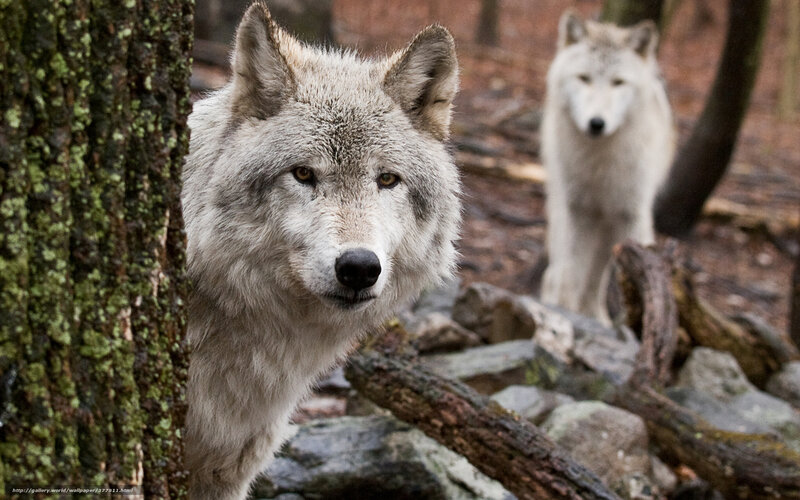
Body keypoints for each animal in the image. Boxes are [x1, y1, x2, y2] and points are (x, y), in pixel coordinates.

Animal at [540, 11, 675, 324]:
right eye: (584, 78)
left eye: (618, 82)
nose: (597, 123)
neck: (600, 165)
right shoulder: (579, 211)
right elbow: (571, 274)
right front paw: (565, 311)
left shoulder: (631, 215)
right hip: (562, 208)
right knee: (556, 269)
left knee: (597, 276)